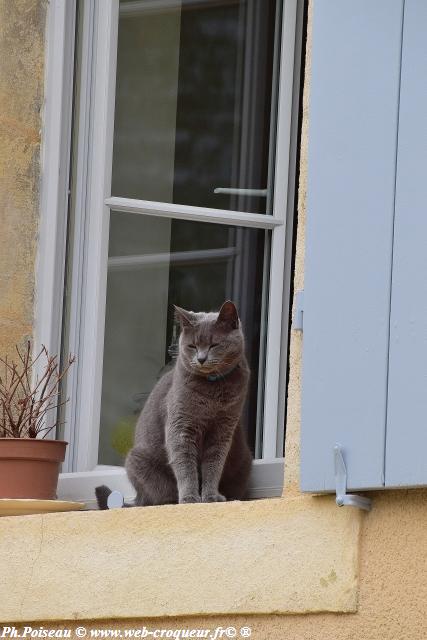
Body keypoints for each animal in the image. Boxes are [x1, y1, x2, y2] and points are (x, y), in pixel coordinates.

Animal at [95, 302, 252, 510]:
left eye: (214, 345)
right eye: (192, 346)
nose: (201, 359)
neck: (212, 391)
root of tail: (138, 497)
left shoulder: (223, 429)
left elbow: (214, 465)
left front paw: (211, 497)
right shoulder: (180, 426)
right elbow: (185, 465)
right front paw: (190, 498)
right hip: (137, 460)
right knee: (160, 498)